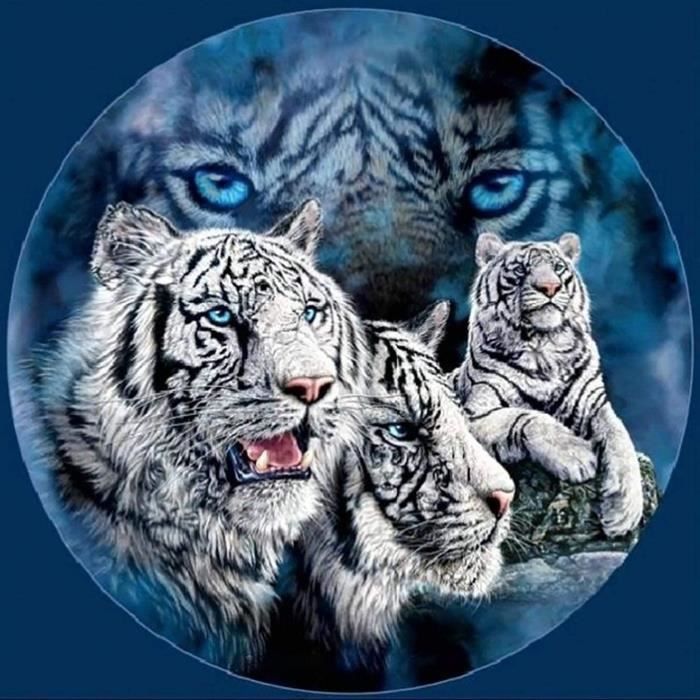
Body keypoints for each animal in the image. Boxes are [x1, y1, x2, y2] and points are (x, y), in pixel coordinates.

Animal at [455, 231, 644, 537]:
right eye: (521, 269)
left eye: (557, 268)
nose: (550, 287)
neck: (542, 347)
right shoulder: (471, 413)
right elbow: (527, 416)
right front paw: (578, 458)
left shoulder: (595, 404)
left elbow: (620, 437)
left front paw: (624, 510)